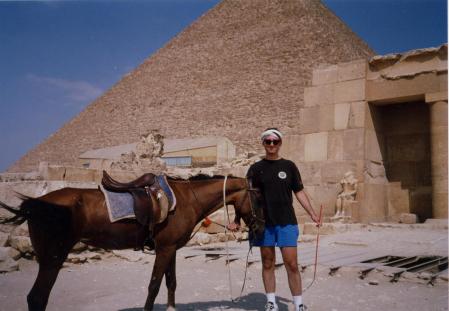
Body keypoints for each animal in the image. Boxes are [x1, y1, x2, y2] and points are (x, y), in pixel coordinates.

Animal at [0, 176, 260, 311]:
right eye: (257, 197)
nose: (260, 226)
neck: (187, 200)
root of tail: (36, 204)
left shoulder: (171, 249)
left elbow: (171, 283)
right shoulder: (164, 249)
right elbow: (154, 286)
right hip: (53, 258)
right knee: (37, 298)